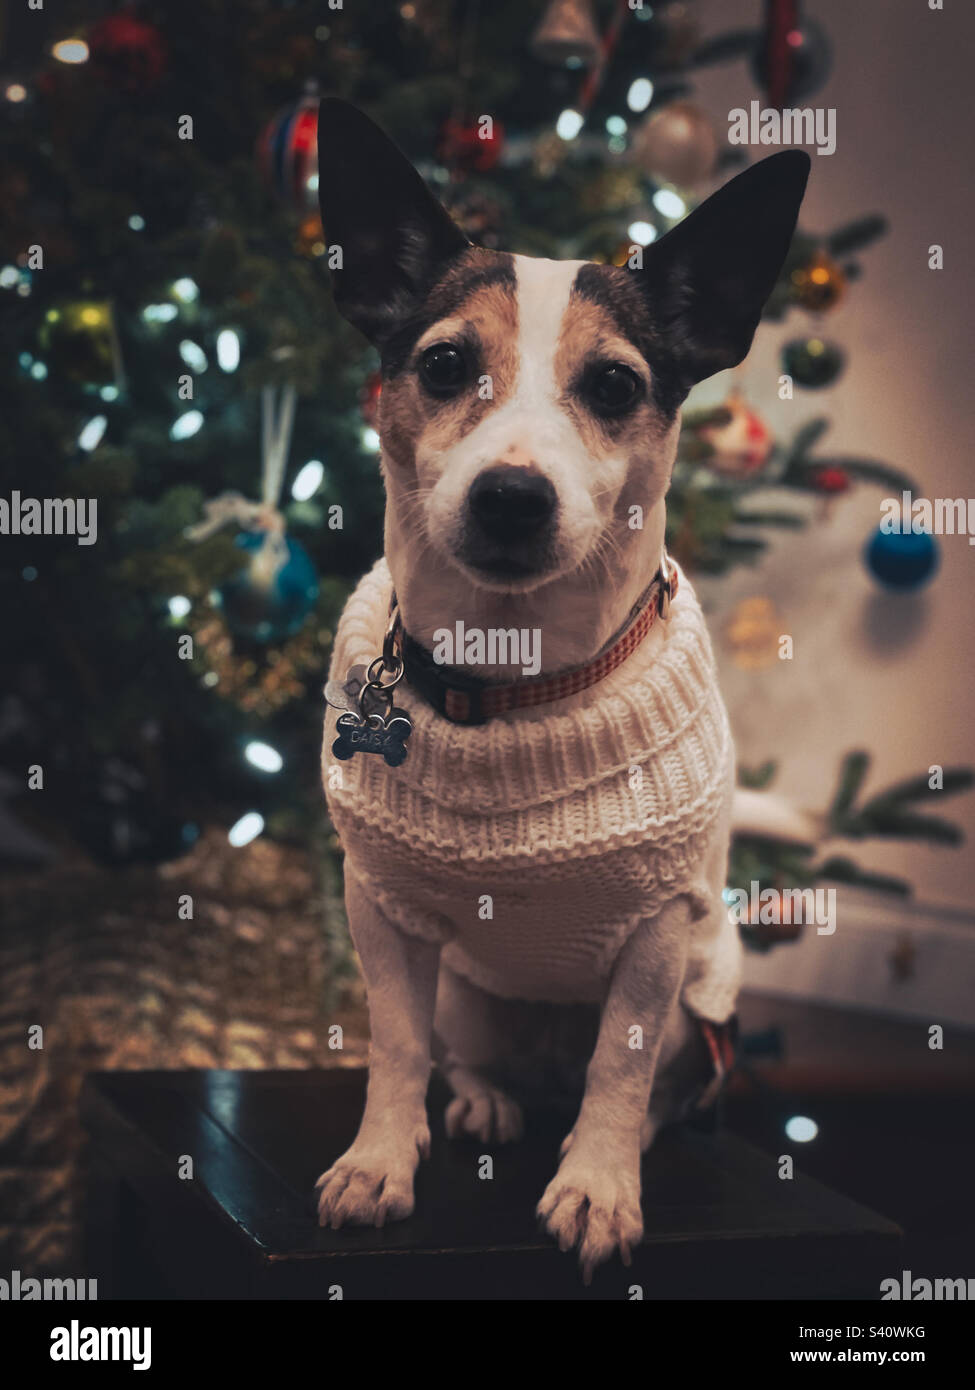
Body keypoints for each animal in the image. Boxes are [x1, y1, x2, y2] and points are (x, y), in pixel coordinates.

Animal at [314, 97, 806, 1273]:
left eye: (616, 385)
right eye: (446, 365)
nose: (510, 495)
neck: (515, 678)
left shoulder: (658, 934)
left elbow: (617, 1070)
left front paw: (596, 1185)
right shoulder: (382, 911)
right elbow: (394, 1045)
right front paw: (379, 1161)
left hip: (700, 1013)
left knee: (634, 1079)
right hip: (469, 996)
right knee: (462, 1053)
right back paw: (485, 1099)